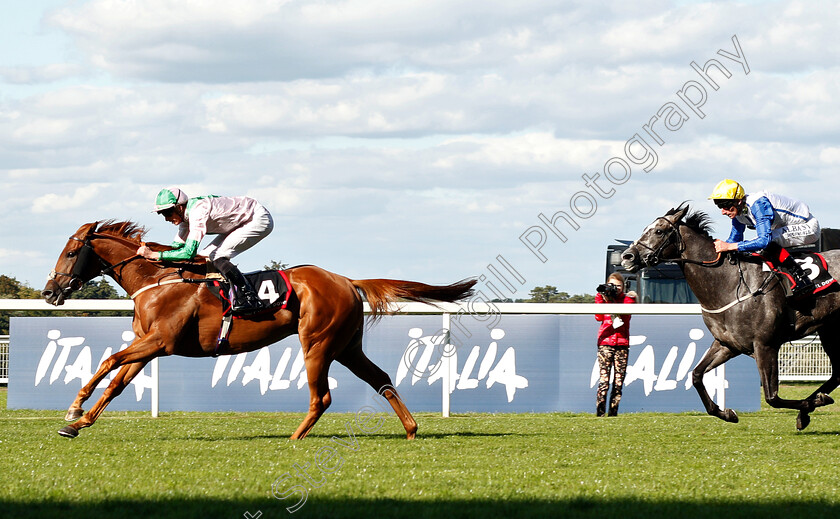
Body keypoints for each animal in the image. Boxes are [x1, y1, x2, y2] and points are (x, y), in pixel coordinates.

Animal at [42, 221, 476, 440]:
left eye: (70, 252)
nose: (48, 292)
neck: (158, 280)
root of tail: (348, 280)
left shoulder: (159, 342)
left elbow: (108, 362)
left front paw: (75, 408)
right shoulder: (147, 345)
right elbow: (116, 382)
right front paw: (77, 424)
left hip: (317, 343)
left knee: (322, 397)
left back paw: (294, 438)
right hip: (347, 346)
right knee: (380, 378)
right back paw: (411, 430)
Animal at [620, 204, 836, 430]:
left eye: (659, 231)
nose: (627, 257)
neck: (730, 285)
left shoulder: (765, 345)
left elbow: (772, 397)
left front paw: (814, 403)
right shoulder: (728, 344)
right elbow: (696, 375)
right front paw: (725, 413)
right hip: (829, 329)